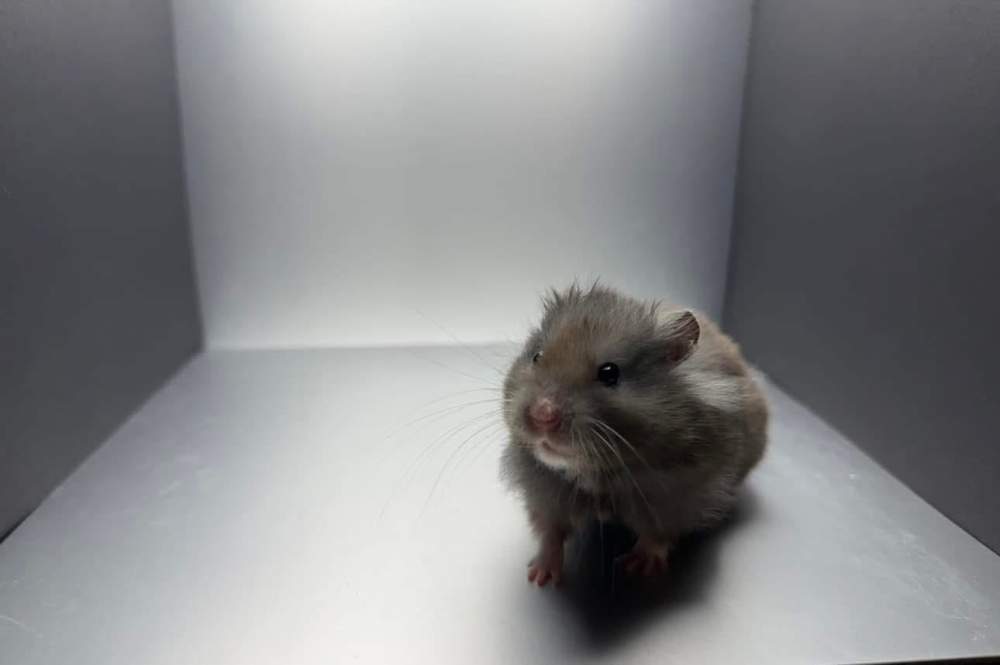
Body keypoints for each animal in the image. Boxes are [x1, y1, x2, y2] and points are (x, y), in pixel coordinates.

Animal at [501, 284, 767, 586]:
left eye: (609, 372)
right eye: (537, 357)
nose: (542, 415)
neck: (602, 473)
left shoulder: (680, 498)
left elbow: (657, 534)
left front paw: (637, 568)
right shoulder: (545, 493)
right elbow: (550, 533)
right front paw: (539, 577)